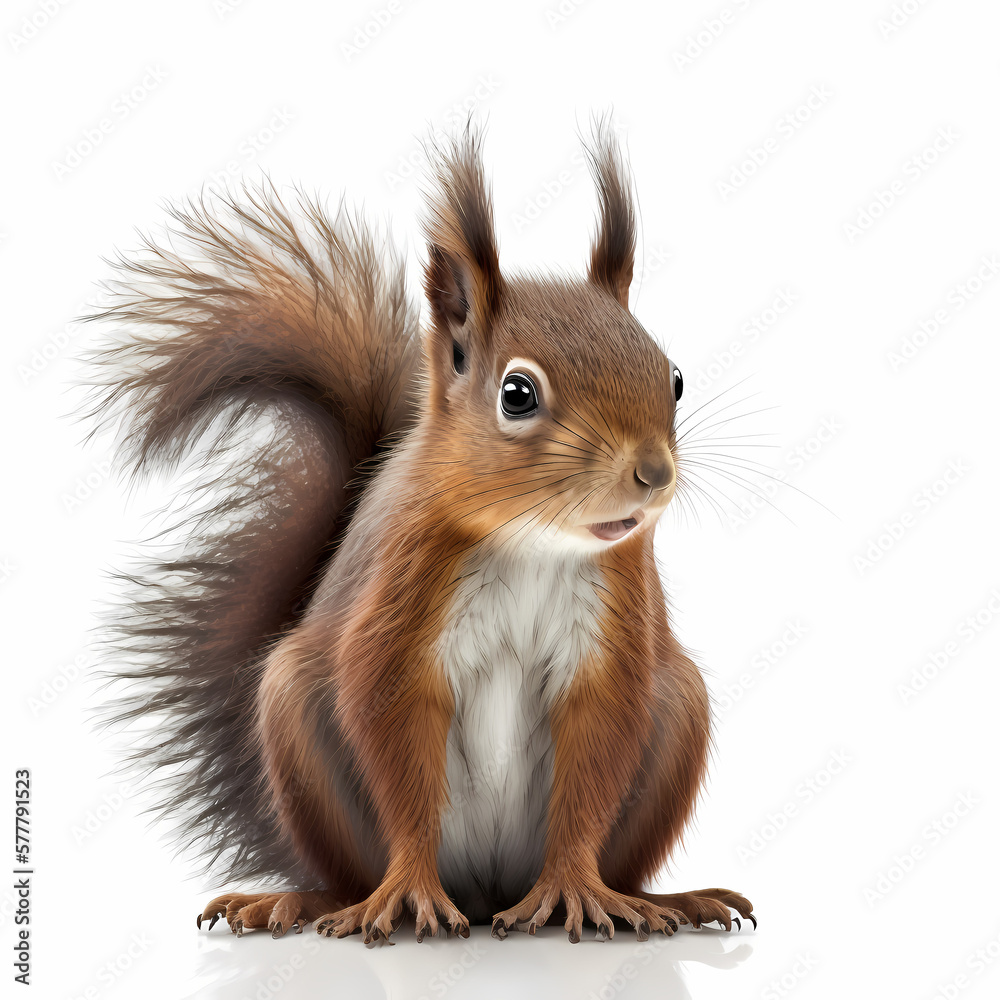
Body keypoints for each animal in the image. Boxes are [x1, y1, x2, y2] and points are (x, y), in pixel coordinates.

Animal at [83, 121, 755, 945]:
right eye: (517, 393)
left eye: (675, 377)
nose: (653, 473)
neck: (532, 540)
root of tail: (490, 892)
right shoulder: (403, 595)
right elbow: (391, 724)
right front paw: (408, 890)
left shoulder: (615, 611)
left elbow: (597, 746)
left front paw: (574, 886)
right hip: (296, 718)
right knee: (345, 873)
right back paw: (304, 902)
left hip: (680, 706)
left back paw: (663, 900)